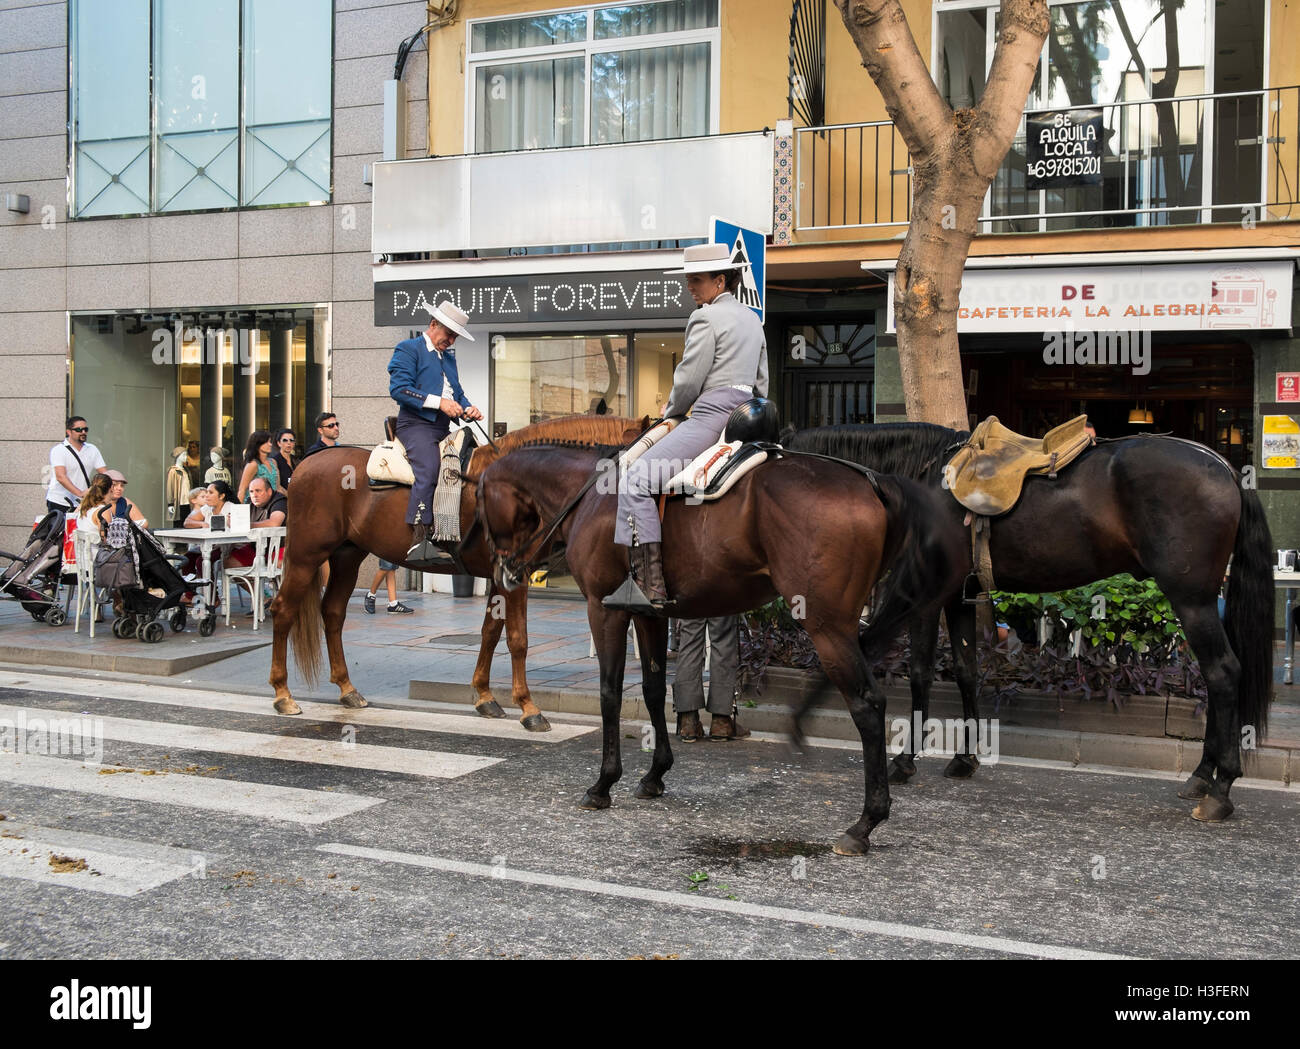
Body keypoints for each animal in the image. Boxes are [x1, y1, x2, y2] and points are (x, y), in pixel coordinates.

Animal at [266, 413, 647, 727]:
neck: (519, 485)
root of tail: (306, 463)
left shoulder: (502, 577)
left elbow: (491, 632)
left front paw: (485, 696)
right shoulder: (516, 576)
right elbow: (518, 639)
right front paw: (528, 707)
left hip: (347, 556)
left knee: (332, 613)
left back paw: (347, 689)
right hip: (306, 555)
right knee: (283, 610)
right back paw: (283, 694)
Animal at [478, 441, 967, 852]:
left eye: (479, 501)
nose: (504, 574)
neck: (593, 497)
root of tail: (873, 481)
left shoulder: (605, 609)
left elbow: (610, 694)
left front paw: (603, 784)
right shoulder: (650, 614)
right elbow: (654, 690)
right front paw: (655, 774)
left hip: (827, 625)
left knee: (868, 705)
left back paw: (865, 822)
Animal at [785, 423, 1274, 826]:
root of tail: (1223, 466)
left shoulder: (924, 595)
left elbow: (915, 670)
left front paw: (901, 759)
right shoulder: (958, 596)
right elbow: (965, 670)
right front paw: (965, 757)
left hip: (1192, 600)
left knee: (1223, 673)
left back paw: (1220, 788)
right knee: (1215, 678)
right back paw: (1202, 775)